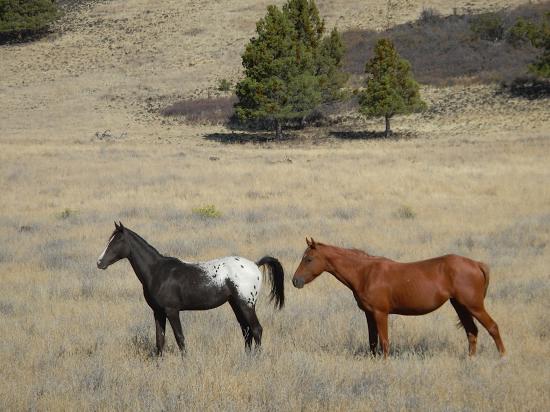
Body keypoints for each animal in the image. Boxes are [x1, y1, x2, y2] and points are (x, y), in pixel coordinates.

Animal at [97, 222, 284, 354]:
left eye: (117, 241)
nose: (99, 262)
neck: (157, 271)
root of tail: (255, 264)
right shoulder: (158, 312)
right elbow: (160, 340)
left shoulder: (172, 311)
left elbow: (180, 338)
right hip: (236, 304)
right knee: (246, 330)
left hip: (246, 304)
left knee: (256, 329)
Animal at [294, 238, 508, 358]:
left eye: (309, 259)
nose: (295, 281)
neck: (365, 272)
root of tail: (476, 264)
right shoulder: (369, 314)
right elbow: (372, 341)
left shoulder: (381, 313)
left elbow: (384, 341)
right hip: (461, 306)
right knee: (472, 332)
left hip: (473, 306)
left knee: (492, 327)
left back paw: (502, 358)